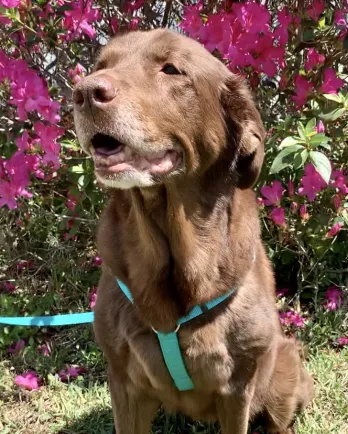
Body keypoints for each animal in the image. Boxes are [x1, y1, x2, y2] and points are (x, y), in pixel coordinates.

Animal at [72, 28, 314, 432]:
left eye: (171, 69)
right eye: (100, 66)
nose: (85, 92)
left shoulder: (237, 388)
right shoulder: (123, 383)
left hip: (284, 367)